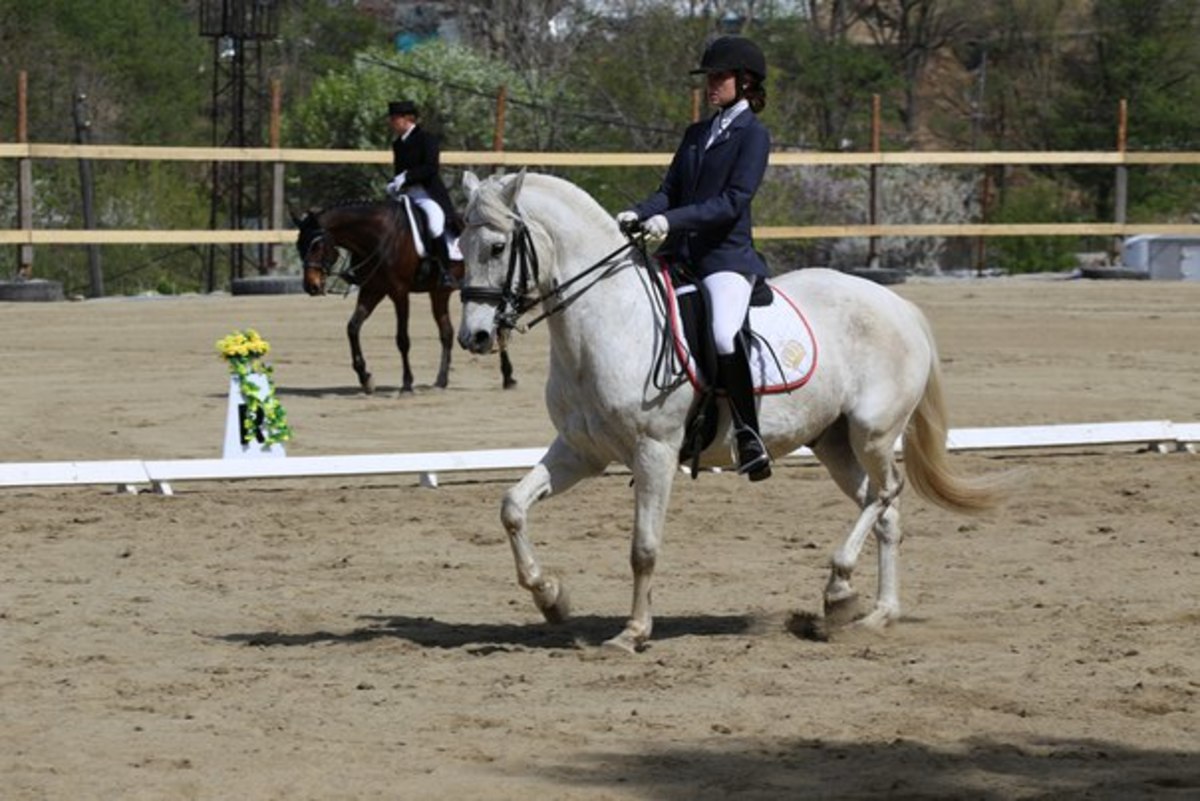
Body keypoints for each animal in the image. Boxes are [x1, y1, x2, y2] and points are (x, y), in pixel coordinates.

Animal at [298, 200, 516, 393]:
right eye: (300, 246)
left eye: (316, 246)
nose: (311, 286)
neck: (380, 238)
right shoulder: (373, 290)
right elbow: (352, 328)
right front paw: (365, 378)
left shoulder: (399, 292)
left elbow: (402, 339)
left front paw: (407, 383)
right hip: (439, 293)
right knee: (447, 332)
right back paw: (441, 381)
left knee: (499, 328)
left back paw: (508, 377)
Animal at [453, 169, 998, 652]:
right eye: (460, 243)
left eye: (498, 248)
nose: (473, 337)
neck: (607, 322)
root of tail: (897, 305)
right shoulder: (581, 451)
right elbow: (512, 507)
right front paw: (550, 597)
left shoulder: (654, 452)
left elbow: (643, 548)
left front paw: (633, 633)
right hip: (834, 442)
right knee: (882, 508)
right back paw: (873, 613)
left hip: (873, 432)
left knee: (887, 492)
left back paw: (840, 586)